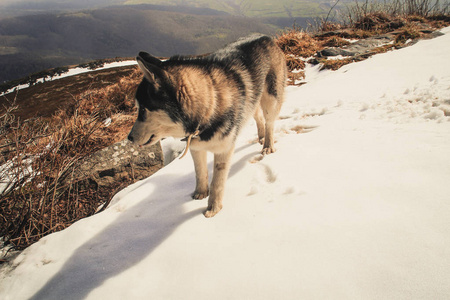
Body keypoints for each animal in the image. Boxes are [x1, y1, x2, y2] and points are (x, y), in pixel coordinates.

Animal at [128, 34, 286, 218]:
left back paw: (267, 145)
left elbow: (217, 181)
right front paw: (200, 194)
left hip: (270, 99)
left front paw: (213, 208)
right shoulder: (196, 147)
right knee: (258, 117)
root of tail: (266, 37)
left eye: (142, 110)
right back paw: (260, 137)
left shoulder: (224, 149)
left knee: (269, 123)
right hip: (252, 100)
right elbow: (200, 173)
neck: (208, 107)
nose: (129, 138)